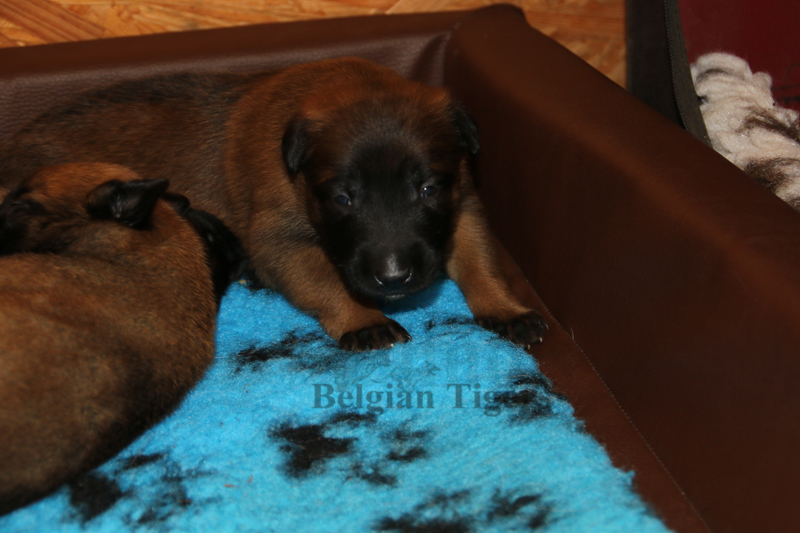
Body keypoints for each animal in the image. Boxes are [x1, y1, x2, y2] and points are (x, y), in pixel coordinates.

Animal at [0, 57, 547, 351]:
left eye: (428, 190)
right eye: (343, 198)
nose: (393, 280)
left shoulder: (464, 205)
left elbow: (479, 262)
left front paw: (505, 308)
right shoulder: (280, 241)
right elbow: (326, 281)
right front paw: (363, 319)